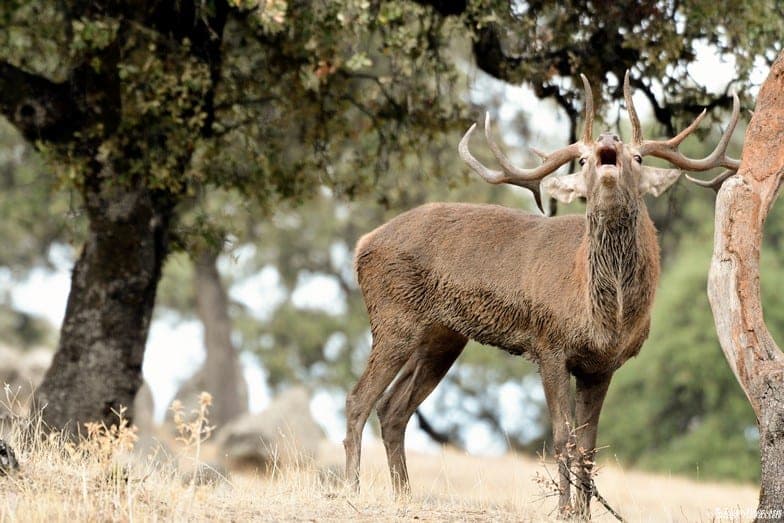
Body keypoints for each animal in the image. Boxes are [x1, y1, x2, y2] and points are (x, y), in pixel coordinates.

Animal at [344, 72, 740, 517]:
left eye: (639, 158)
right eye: (581, 160)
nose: (608, 139)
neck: (607, 314)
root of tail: (362, 245)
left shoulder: (602, 366)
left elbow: (590, 445)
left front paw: (584, 512)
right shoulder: (550, 344)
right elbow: (564, 437)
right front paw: (564, 510)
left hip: (441, 336)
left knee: (393, 409)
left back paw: (404, 494)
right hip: (393, 316)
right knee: (357, 399)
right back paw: (351, 488)